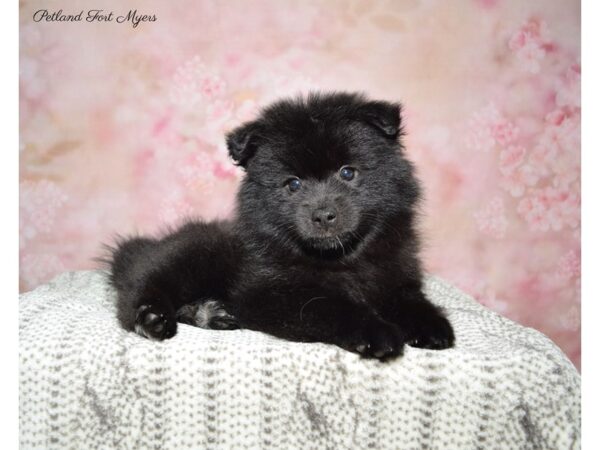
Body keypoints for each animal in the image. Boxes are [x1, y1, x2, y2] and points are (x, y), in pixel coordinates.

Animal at [109, 92, 454, 362]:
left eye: (347, 173)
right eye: (293, 184)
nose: (323, 214)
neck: (343, 258)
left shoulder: (397, 275)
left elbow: (410, 299)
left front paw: (431, 326)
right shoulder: (271, 292)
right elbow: (329, 305)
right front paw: (376, 332)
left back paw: (211, 312)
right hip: (192, 253)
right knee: (138, 289)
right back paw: (152, 318)